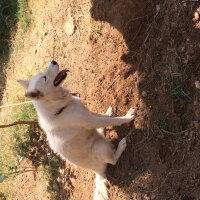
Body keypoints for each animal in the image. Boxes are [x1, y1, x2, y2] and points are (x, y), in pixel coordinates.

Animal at [18, 61, 135, 200]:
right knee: (112, 160)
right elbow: (113, 120)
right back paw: (121, 145)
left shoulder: (88, 114)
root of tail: (97, 172)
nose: (53, 61)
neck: (58, 109)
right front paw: (127, 117)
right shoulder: (91, 120)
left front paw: (108, 113)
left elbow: (103, 116)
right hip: (99, 146)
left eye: (43, 74)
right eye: (44, 77)